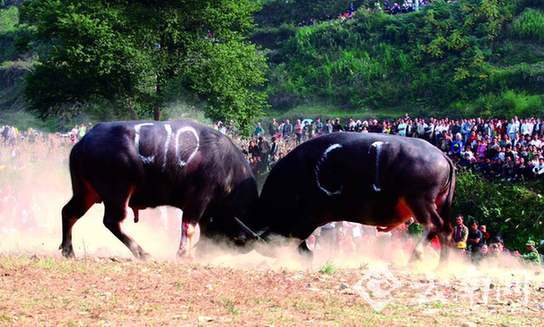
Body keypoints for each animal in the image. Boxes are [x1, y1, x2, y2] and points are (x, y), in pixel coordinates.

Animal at [58, 119, 258, 260]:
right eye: (238, 240)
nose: (207, 253)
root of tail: (83, 142)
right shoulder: (199, 199)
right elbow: (189, 227)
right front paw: (183, 254)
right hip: (118, 192)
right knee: (112, 221)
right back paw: (143, 253)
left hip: (85, 192)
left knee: (69, 212)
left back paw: (68, 250)